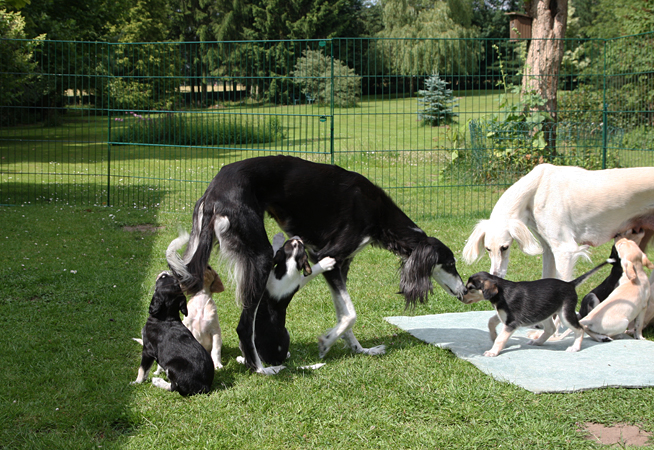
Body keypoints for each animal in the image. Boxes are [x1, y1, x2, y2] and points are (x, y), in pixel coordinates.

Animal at [167, 156, 468, 370]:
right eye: (451, 264)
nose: (465, 291)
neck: (378, 212)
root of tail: (214, 189)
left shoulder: (340, 266)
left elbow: (344, 313)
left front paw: (360, 349)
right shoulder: (325, 255)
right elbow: (350, 314)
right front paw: (326, 342)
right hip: (261, 256)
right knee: (244, 326)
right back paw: (262, 368)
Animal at [462, 163, 654, 280]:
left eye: (505, 247)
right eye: (488, 249)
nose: (495, 275)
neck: (537, 187)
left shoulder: (565, 250)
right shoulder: (549, 250)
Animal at [462, 258, 616, 356]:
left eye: (471, 288)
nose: (460, 296)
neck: (501, 292)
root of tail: (570, 284)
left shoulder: (511, 323)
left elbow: (501, 338)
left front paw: (493, 351)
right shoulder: (503, 315)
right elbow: (491, 322)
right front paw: (493, 336)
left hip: (564, 314)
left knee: (580, 328)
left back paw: (575, 348)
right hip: (544, 312)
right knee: (551, 329)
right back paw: (538, 341)